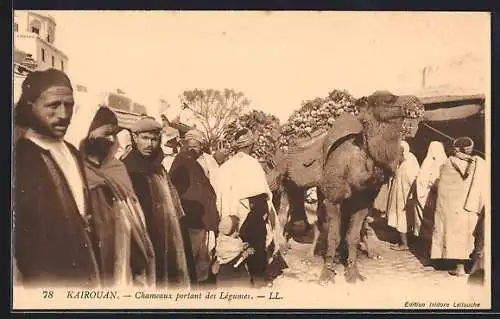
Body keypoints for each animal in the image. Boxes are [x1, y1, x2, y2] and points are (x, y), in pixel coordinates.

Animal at [272, 91, 424, 284]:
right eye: (387, 100)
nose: (416, 102)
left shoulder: (362, 203)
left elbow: (352, 236)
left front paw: (353, 272)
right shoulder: (333, 199)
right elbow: (334, 236)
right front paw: (327, 273)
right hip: (285, 180)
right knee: (287, 212)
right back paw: (293, 251)